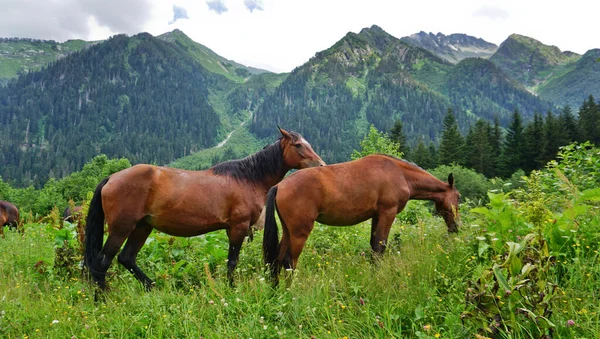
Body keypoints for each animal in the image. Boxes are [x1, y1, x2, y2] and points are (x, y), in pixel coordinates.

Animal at [84, 127, 324, 290]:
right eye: (298, 145)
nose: (321, 166)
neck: (248, 178)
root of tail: (111, 178)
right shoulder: (238, 227)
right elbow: (232, 261)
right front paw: (231, 288)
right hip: (121, 229)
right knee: (102, 262)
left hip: (142, 227)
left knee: (126, 258)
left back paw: (151, 287)